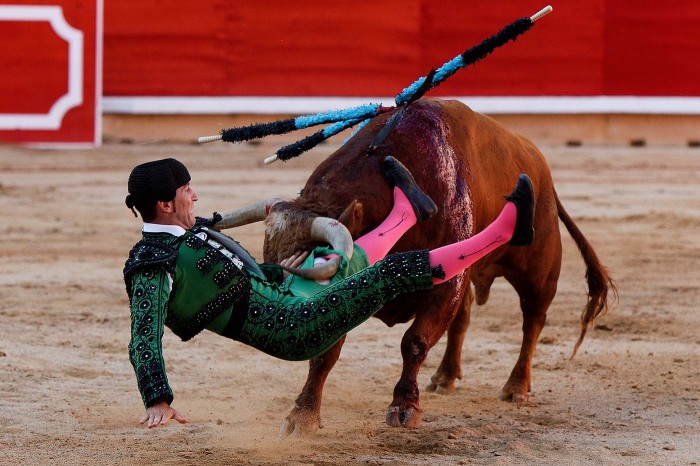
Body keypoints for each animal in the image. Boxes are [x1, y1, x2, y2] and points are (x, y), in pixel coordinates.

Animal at [221, 98, 616, 436]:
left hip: (539, 269)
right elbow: (326, 353)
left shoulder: (443, 285)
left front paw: (404, 407)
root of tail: (538, 165)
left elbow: (414, 342)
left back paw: (516, 387)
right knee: (464, 320)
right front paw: (302, 416)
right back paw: (445, 377)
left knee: (532, 321)